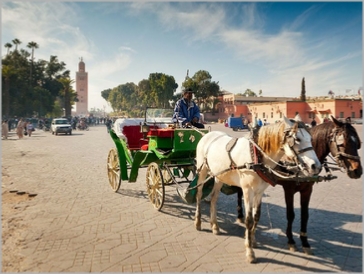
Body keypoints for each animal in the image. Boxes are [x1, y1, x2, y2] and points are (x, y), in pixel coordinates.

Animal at [195, 115, 320, 264]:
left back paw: (214, 225)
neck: (256, 157)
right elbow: (248, 220)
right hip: (202, 170)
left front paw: (253, 241)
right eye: (297, 139)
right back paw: (198, 222)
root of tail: (207, 135)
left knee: (214, 198)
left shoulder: (259, 191)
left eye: (311, 138)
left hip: (219, 176)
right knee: (199, 194)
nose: (316, 166)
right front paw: (250, 252)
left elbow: (256, 216)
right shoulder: (247, 191)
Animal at [236, 114, 362, 254]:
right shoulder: (288, 190)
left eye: (358, 143)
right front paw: (291, 240)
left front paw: (305, 242)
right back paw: (240, 215)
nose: (357, 171)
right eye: (342, 143)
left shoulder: (307, 190)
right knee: (239, 193)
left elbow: (305, 215)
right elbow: (291, 215)